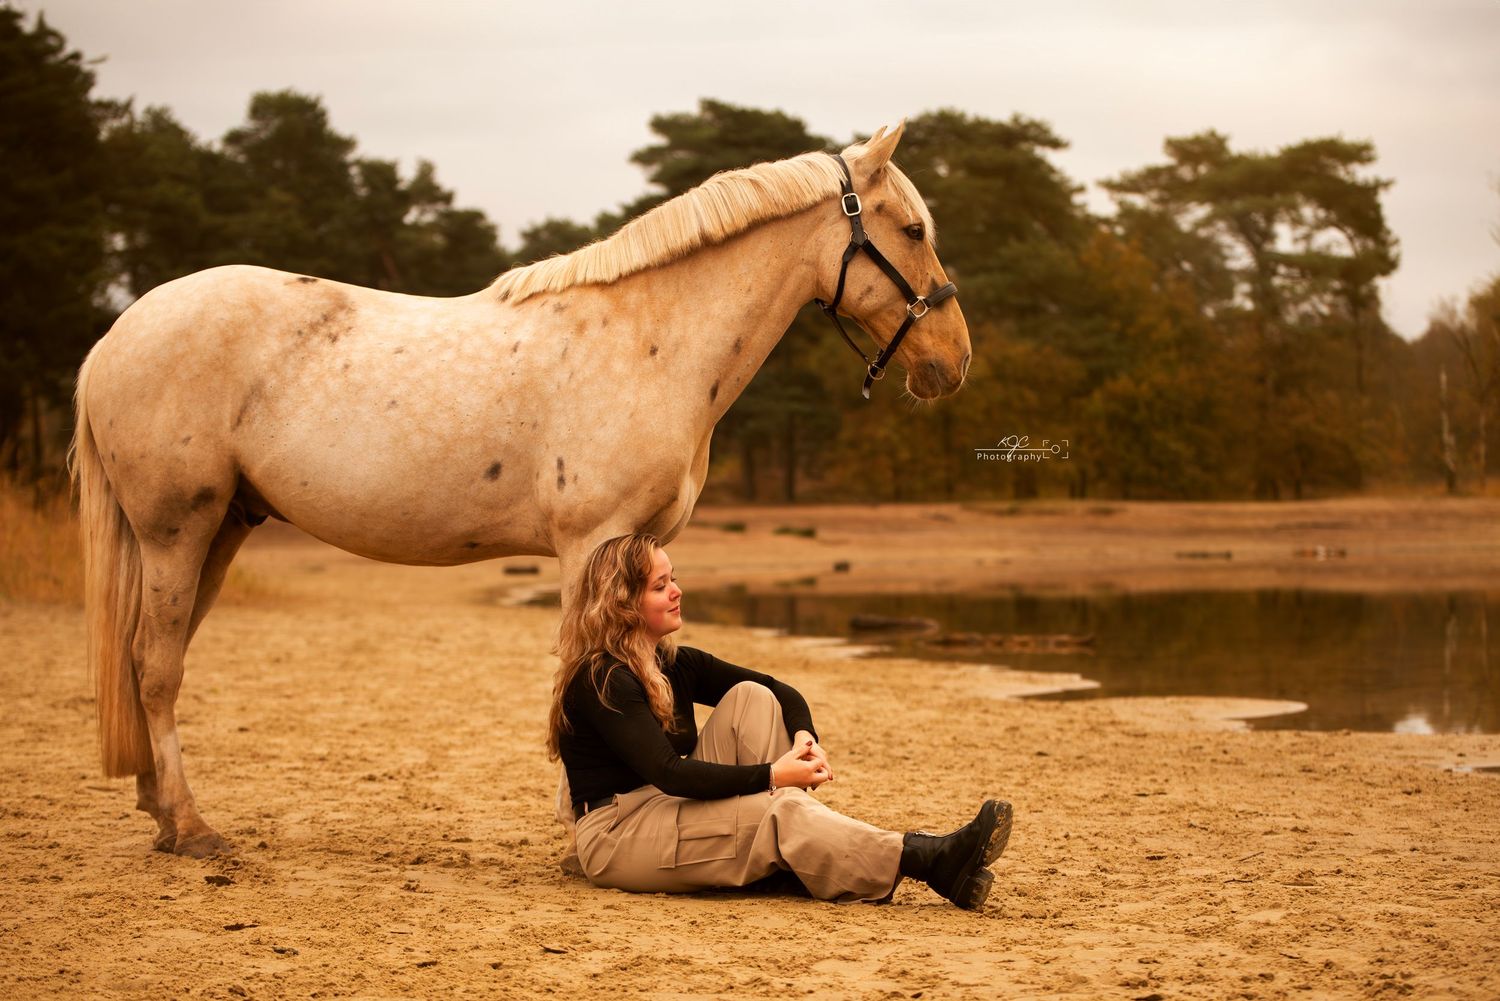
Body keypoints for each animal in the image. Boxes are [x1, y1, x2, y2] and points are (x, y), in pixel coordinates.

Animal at [69, 122, 971, 857]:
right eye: (913, 229)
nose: (953, 360)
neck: (652, 340)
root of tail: (115, 336)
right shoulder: (592, 543)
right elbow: (577, 670)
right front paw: (577, 817)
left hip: (220, 529)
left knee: (150, 659)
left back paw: (160, 811)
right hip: (176, 531)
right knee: (155, 666)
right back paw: (191, 827)